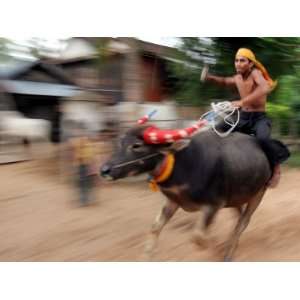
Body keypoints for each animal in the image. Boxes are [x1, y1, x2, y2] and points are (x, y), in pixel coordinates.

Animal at [100, 117, 272, 260]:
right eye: (121, 142)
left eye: (136, 145)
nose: (105, 170)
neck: (183, 165)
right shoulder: (172, 201)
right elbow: (155, 228)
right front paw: (147, 255)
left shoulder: (214, 205)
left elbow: (197, 237)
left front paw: (214, 247)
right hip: (236, 197)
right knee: (238, 218)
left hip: (258, 194)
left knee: (243, 222)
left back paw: (228, 253)